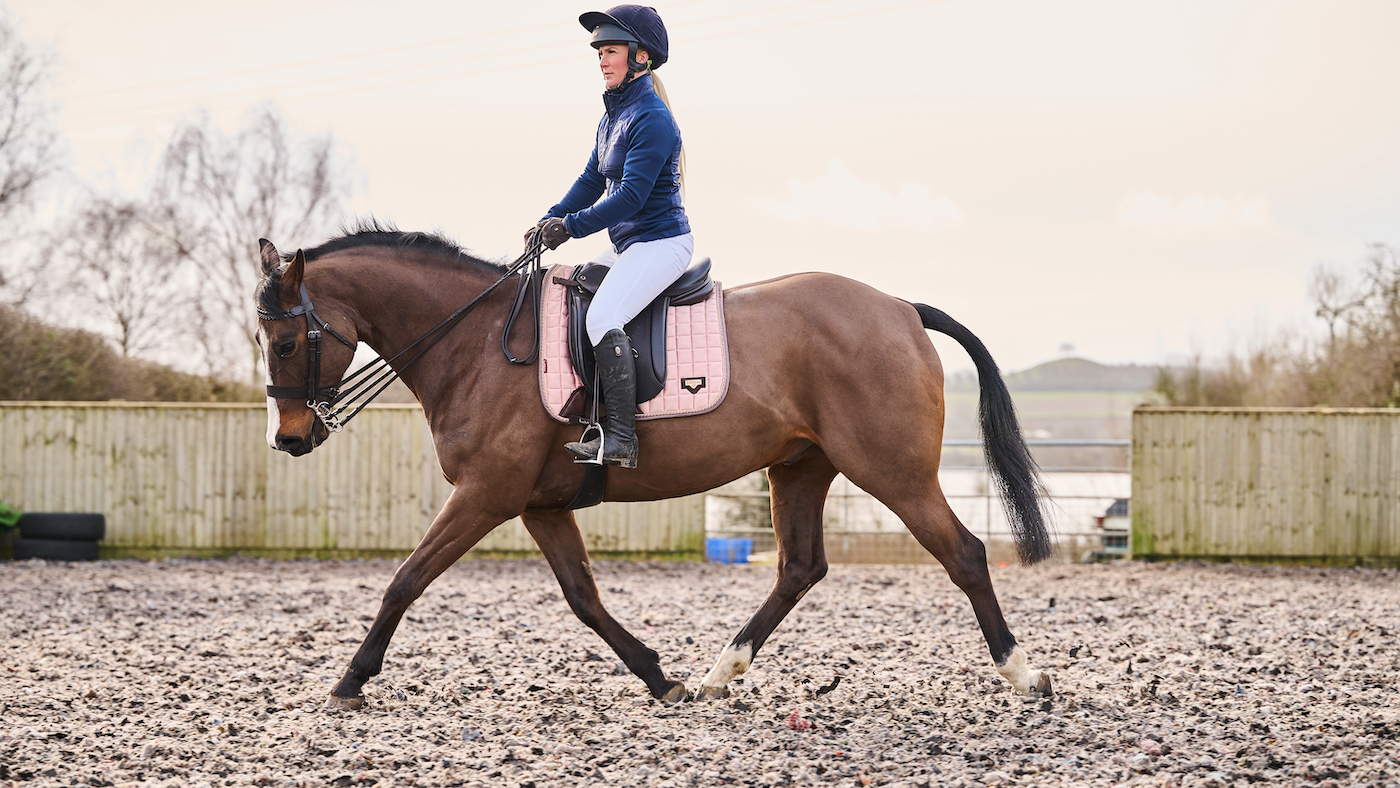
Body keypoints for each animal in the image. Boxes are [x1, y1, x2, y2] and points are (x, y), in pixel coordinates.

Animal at [255, 226, 1056, 710]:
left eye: (287, 343)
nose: (287, 439)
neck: (476, 341)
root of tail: (898, 306)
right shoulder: (538, 505)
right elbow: (583, 598)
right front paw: (658, 675)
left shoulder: (485, 495)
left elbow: (406, 579)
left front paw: (350, 679)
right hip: (800, 468)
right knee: (800, 568)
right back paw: (717, 673)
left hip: (892, 471)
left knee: (964, 553)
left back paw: (1024, 675)